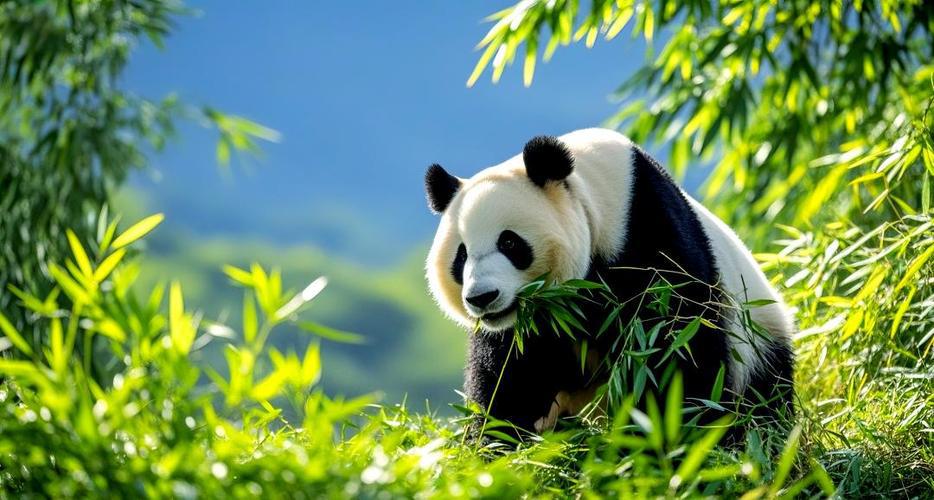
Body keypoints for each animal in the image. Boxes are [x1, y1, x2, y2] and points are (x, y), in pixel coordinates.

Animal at [424, 128, 794, 439]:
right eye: (461, 256)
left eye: (510, 243)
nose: (482, 297)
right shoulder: (523, 326)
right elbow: (509, 378)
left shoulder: (650, 232)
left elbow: (676, 344)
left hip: (760, 341)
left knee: (766, 401)